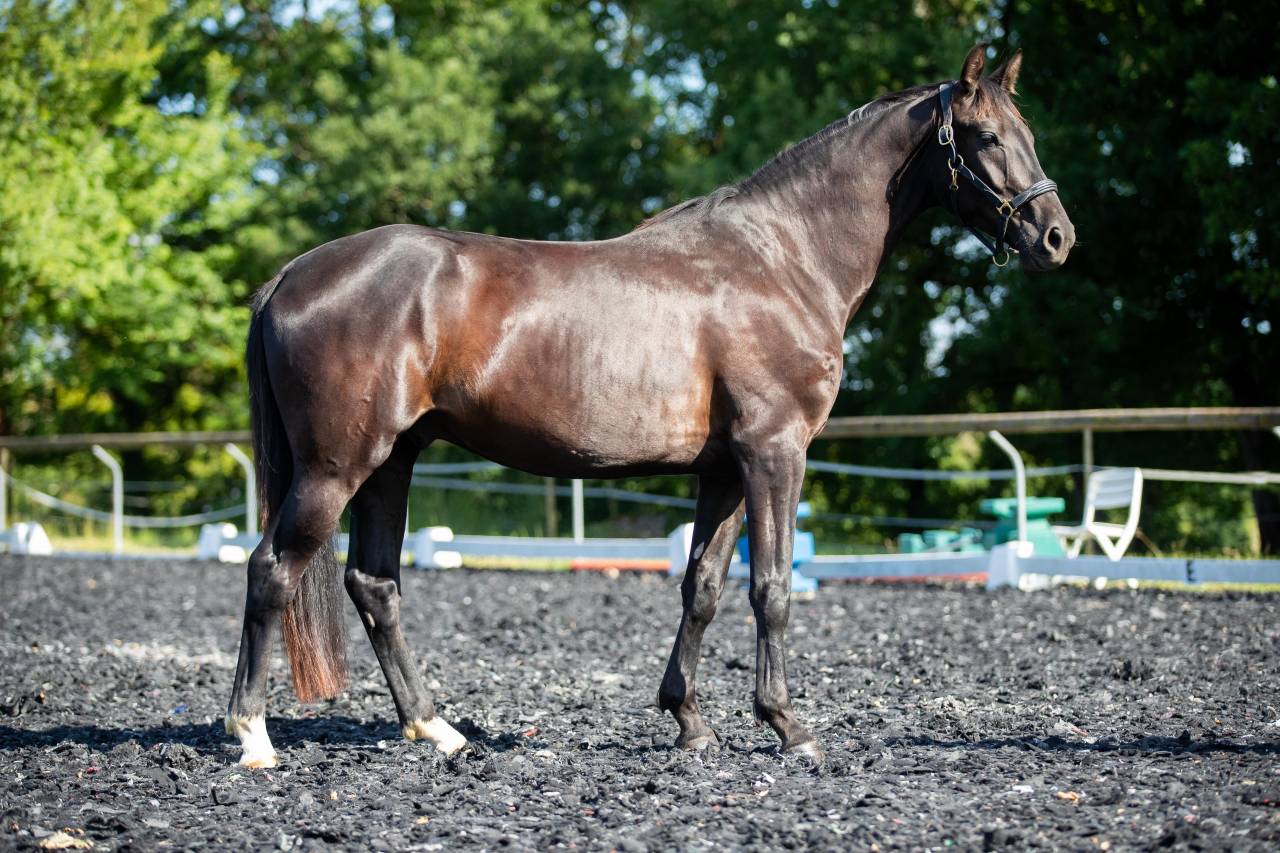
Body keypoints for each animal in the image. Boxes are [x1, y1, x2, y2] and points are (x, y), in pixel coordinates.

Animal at [225, 45, 1074, 768]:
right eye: (986, 136)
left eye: (1028, 134)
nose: (1056, 237)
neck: (782, 258)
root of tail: (291, 275)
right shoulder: (775, 452)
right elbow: (772, 588)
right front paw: (789, 726)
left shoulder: (724, 470)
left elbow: (703, 588)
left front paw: (690, 722)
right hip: (338, 465)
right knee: (271, 569)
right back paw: (254, 735)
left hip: (392, 461)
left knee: (374, 585)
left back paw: (436, 728)